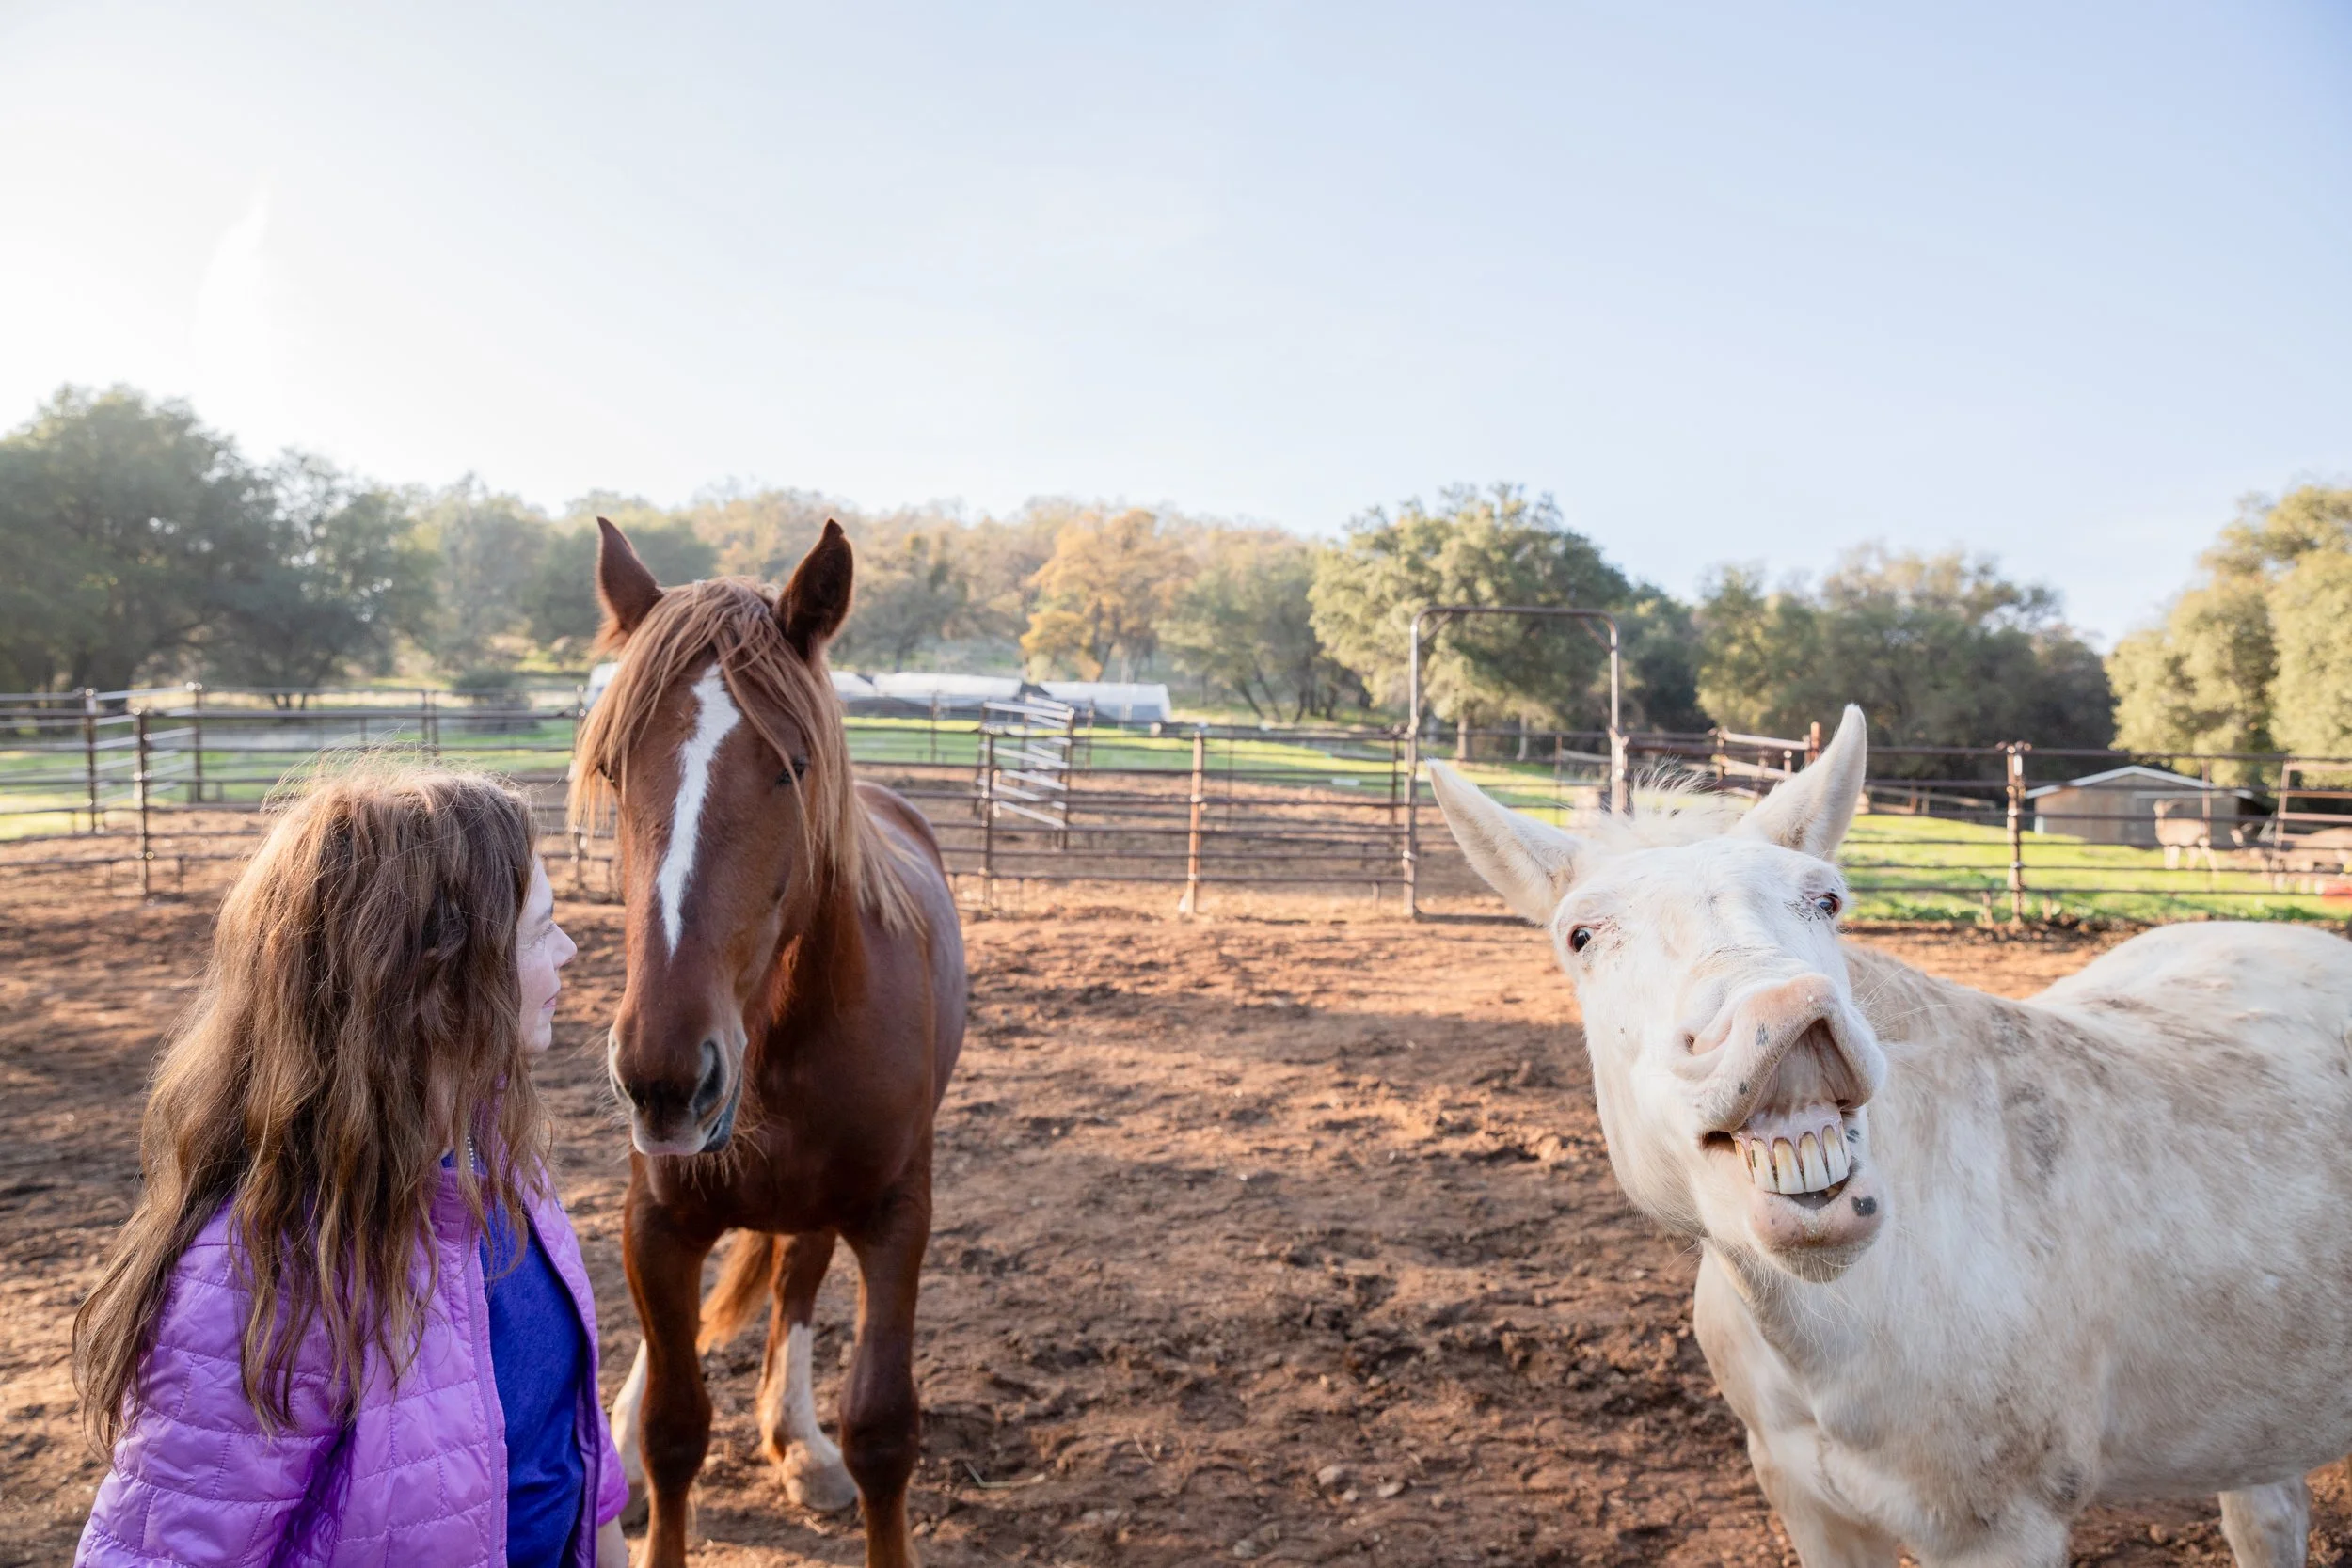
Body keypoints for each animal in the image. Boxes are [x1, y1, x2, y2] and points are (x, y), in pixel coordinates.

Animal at [573, 518, 966, 1568]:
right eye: (614, 769)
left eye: (792, 766)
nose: (664, 1076)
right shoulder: (657, 1219)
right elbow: (674, 1425)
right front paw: (640, 1455)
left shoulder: (896, 1216)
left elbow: (883, 1431)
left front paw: (829, 1448)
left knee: (793, 1285)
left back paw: (799, 1443)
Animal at [1429, 707, 2352, 1567]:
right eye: (1581, 935)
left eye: (1827, 899)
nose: (1785, 1014)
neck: (1844, 1325)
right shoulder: (1807, 1498)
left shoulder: (1999, 1531)